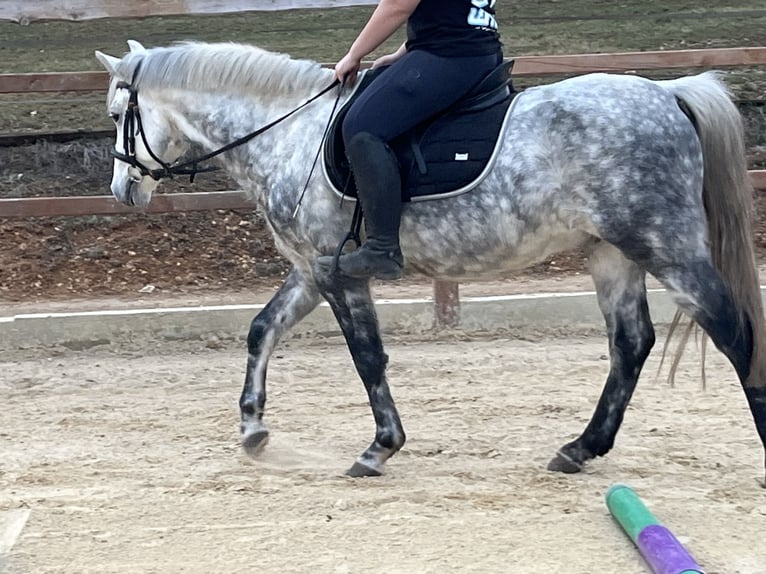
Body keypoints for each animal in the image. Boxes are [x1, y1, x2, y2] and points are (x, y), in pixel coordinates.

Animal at [94, 40, 766, 484]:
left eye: (117, 116)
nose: (122, 191)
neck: (287, 135)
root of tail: (667, 92)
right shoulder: (314, 268)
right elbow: (263, 330)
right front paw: (253, 430)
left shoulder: (338, 273)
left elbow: (368, 357)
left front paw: (379, 448)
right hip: (612, 253)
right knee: (631, 343)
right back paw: (579, 449)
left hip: (665, 246)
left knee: (734, 332)